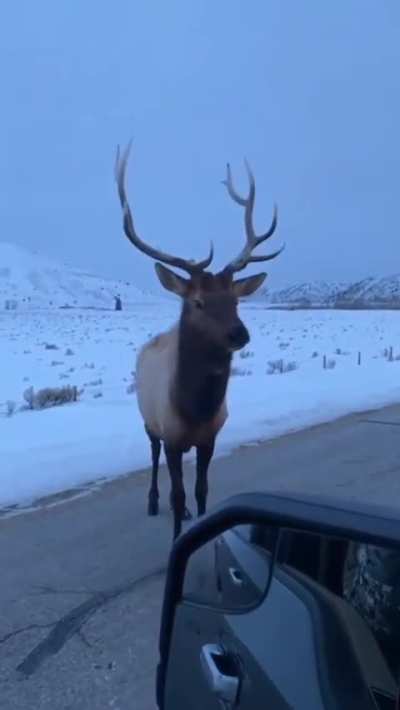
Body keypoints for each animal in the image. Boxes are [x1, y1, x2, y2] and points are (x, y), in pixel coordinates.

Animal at [115, 142, 284, 539]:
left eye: (236, 300)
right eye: (199, 302)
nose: (240, 333)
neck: (195, 410)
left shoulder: (211, 437)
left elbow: (202, 490)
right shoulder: (172, 436)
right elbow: (178, 495)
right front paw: (178, 533)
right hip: (149, 421)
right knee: (153, 456)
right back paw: (152, 501)